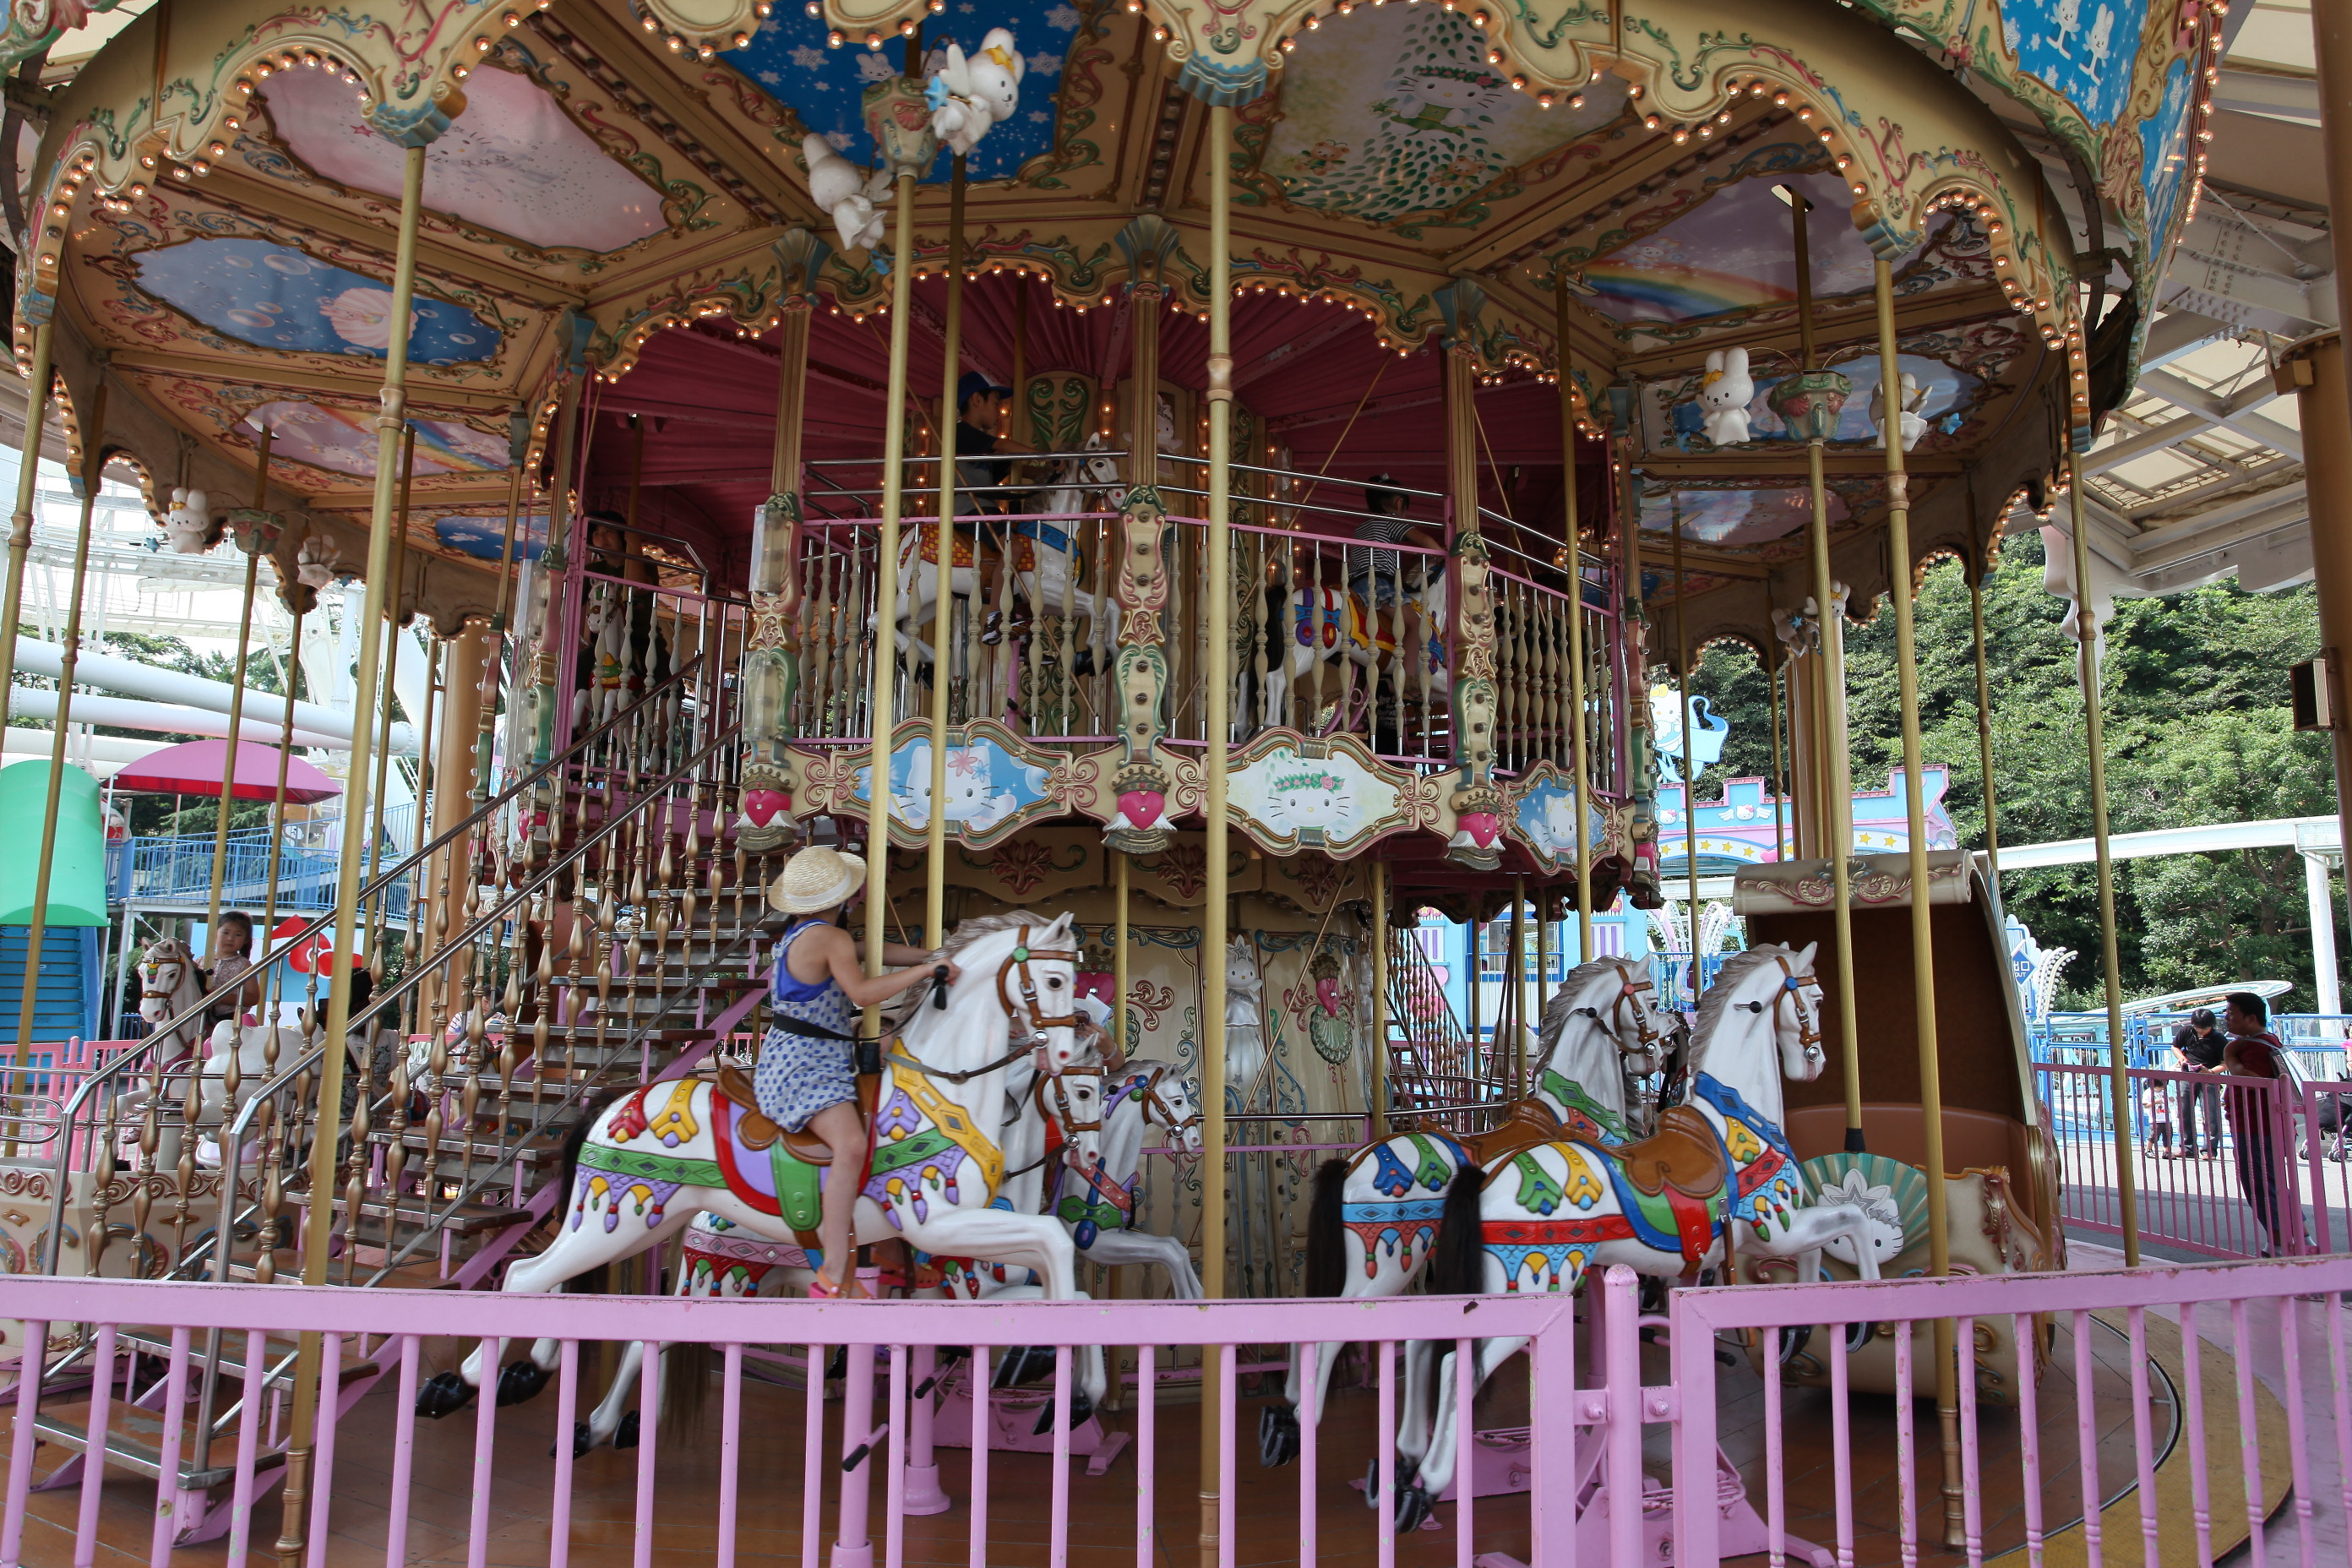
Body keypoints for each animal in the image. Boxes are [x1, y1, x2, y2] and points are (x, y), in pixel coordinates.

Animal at [411, 912, 1110, 1425]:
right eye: (1053, 982)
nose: (1066, 1048)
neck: (944, 1092)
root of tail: (614, 1102)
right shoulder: (937, 1224)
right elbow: (1056, 1247)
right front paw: (1056, 1377)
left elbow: (1070, 1284)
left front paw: (1076, 1390)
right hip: (621, 1223)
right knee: (525, 1278)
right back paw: (465, 1385)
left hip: (637, 1225)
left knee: (565, 1290)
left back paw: (545, 1385)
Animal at [1378, 942, 1898, 1531]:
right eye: (1818, 998)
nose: (1816, 1062)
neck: (1735, 1121)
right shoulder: (1775, 1225)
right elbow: (1850, 1222)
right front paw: (1863, 1317)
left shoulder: (1771, 1235)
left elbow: (1820, 1249)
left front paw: (1798, 1328)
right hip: (1527, 1283)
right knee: (1454, 1363)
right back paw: (1425, 1486)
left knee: (1426, 1343)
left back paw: (1402, 1472)